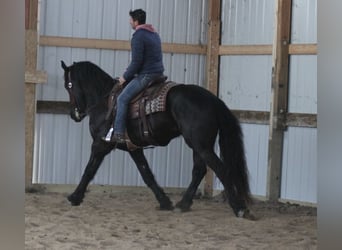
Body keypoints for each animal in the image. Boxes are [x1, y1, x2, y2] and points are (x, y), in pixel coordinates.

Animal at [60, 60, 254, 219]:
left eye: (68, 85)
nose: (74, 114)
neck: (105, 101)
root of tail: (213, 100)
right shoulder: (133, 148)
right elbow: (147, 174)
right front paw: (164, 201)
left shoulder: (101, 144)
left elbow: (89, 170)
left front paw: (75, 197)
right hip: (198, 145)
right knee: (199, 170)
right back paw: (183, 204)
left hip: (201, 145)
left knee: (221, 170)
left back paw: (239, 208)